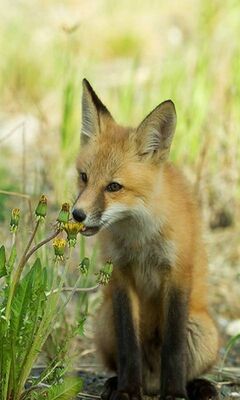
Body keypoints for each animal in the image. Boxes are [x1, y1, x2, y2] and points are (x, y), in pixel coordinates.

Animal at [73, 79, 219, 400]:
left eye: (114, 187)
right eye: (84, 177)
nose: (77, 214)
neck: (140, 239)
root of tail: (152, 381)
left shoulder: (177, 273)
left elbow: (173, 348)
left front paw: (174, 392)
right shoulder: (120, 275)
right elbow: (129, 345)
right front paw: (127, 390)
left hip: (202, 330)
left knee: (187, 365)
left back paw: (197, 386)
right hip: (105, 320)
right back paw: (117, 383)